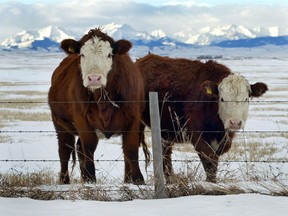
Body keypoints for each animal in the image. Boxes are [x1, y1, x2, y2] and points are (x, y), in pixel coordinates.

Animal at [47, 27, 148, 185]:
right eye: (82, 54)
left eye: (109, 54)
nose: (94, 78)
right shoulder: (81, 119)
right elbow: (88, 147)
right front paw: (90, 179)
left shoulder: (133, 118)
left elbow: (130, 149)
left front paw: (138, 181)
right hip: (60, 123)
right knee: (64, 150)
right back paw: (64, 181)